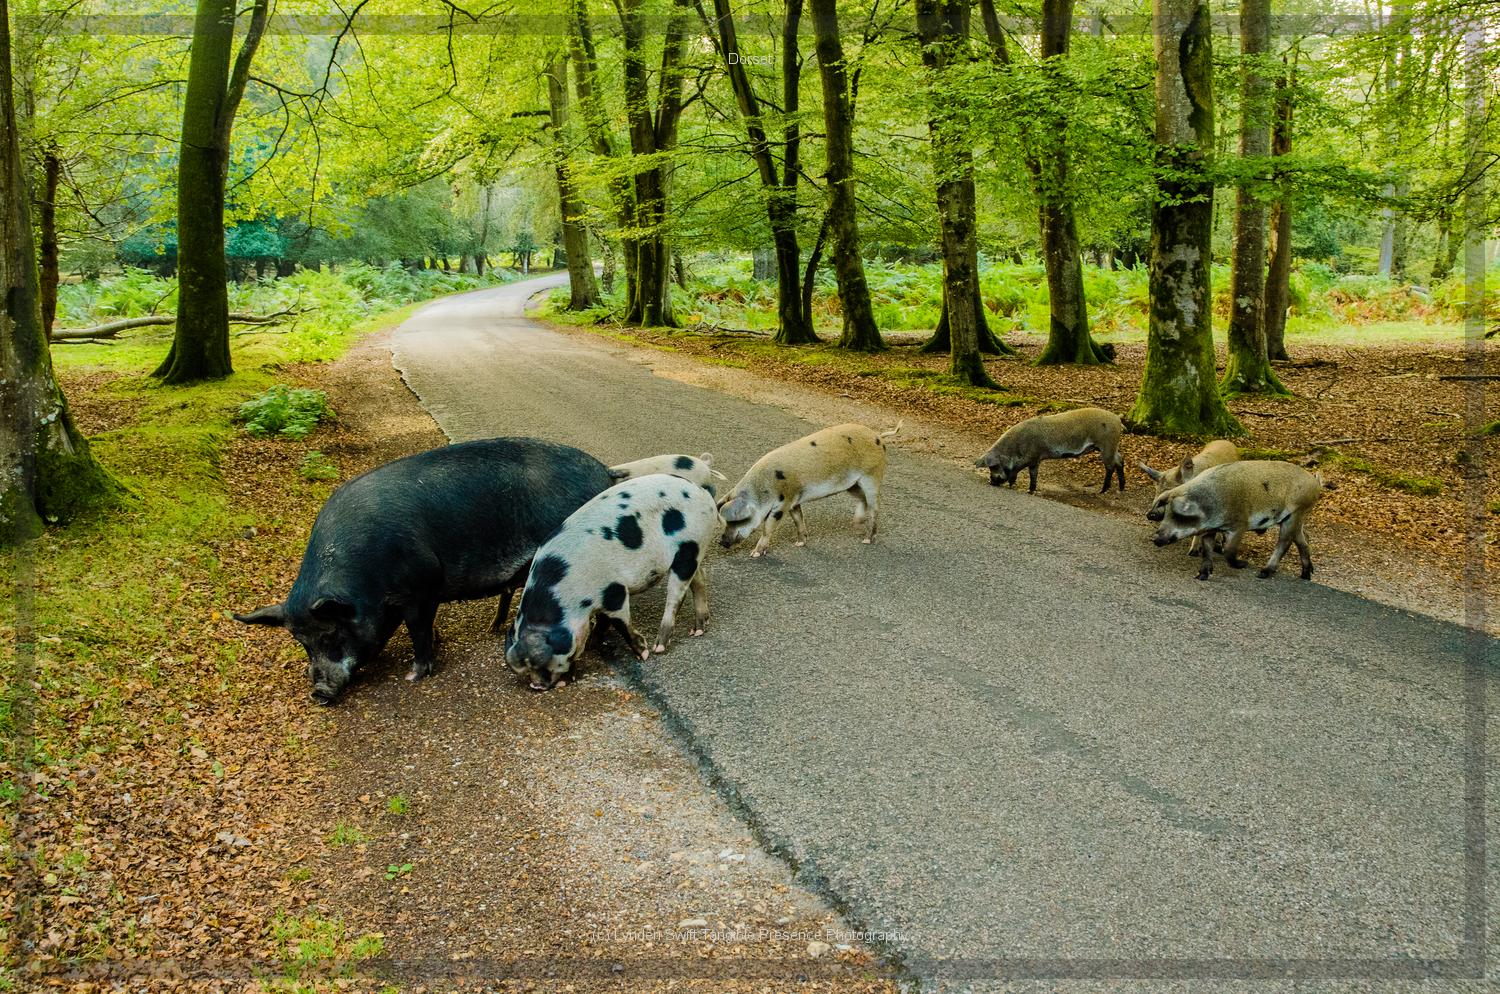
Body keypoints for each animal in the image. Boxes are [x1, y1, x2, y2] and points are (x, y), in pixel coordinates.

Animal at [234, 438, 613, 703]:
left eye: (330, 635)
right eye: (301, 642)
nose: (319, 693)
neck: (366, 581)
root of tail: (605, 473)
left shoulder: (422, 583)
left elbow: (418, 629)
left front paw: (414, 675)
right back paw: (494, 629)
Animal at [505, 474, 721, 690]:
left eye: (541, 663)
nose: (536, 686)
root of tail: (702, 492)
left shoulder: (614, 590)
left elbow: (620, 621)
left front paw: (643, 653)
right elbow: (602, 620)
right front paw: (592, 644)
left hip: (689, 546)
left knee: (678, 594)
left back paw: (659, 646)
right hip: (694, 551)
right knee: (699, 579)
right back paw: (698, 629)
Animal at [718, 422, 900, 557]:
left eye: (736, 520)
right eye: (724, 521)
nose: (721, 542)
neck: (763, 489)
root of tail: (879, 436)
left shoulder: (783, 502)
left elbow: (769, 527)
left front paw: (754, 554)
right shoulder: (794, 500)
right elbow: (798, 518)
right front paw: (800, 543)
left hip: (872, 476)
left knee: (875, 508)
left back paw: (867, 540)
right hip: (852, 485)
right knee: (863, 500)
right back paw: (856, 523)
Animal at [975, 407, 1126, 493]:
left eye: (994, 466)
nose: (991, 482)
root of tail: (1117, 418)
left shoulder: (1031, 456)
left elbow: (1018, 470)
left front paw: (1014, 486)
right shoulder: (1035, 460)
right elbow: (1033, 474)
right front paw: (1030, 491)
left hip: (1107, 444)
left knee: (1110, 466)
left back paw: (1102, 491)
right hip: (1112, 447)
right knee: (1120, 460)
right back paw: (1121, 489)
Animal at [1147, 460, 1323, 581]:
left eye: (1178, 516)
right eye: (1166, 513)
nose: (1155, 538)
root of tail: (1315, 482)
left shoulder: (1240, 524)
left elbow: (1229, 551)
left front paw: (1243, 564)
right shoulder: (1210, 529)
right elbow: (1207, 550)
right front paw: (1201, 576)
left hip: (1296, 513)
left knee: (1284, 541)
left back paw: (1263, 573)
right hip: (1295, 518)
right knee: (1302, 540)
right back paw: (1305, 576)